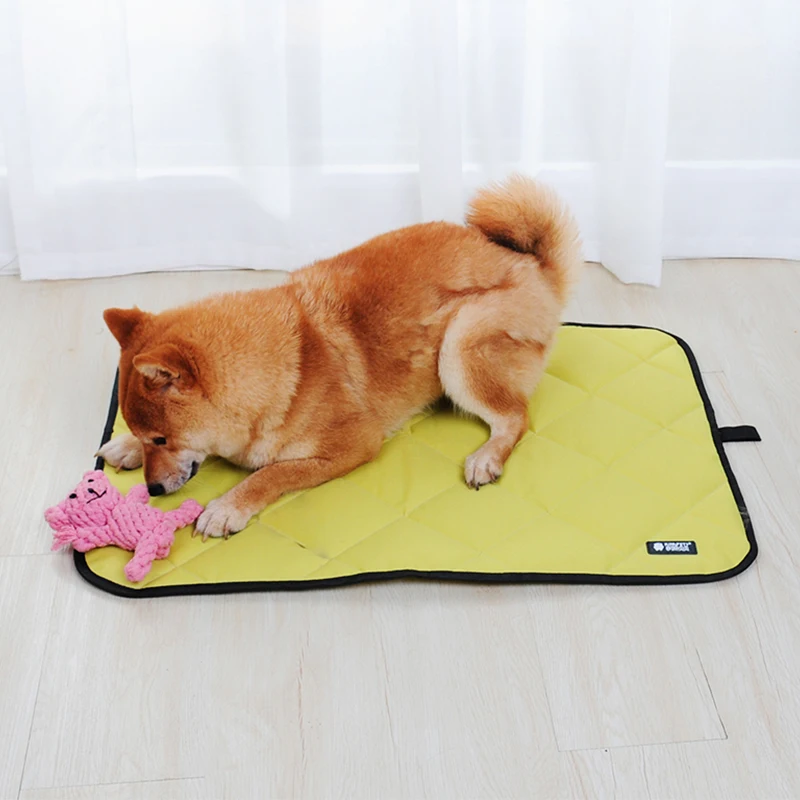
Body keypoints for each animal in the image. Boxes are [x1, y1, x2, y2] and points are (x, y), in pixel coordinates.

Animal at [98, 175, 582, 540]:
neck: (279, 367)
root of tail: (535, 267)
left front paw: (228, 506)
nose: (153, 490)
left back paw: (487, 457)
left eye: (163, 439)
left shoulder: (354, 443)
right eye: (147, 437)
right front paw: (124, 446)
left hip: (459, 346)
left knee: (515, 417)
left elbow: (273, 474)